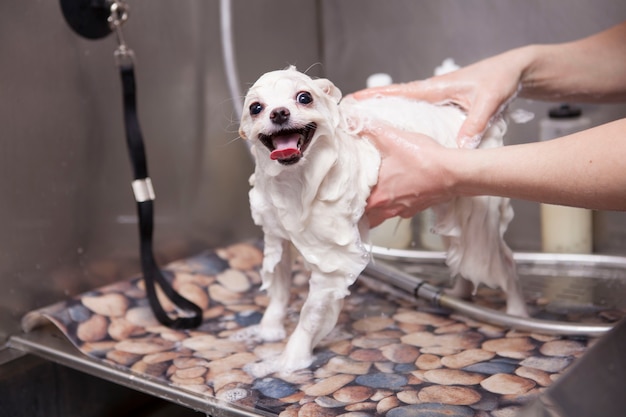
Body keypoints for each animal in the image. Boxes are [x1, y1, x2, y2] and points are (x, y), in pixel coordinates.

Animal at [236, 66, 524, 374]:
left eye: (304, 97)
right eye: (255, 108)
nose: (279, 113)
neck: (296, 182)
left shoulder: (332, 261)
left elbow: (310, 314)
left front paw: (291, 359)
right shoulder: (276, 235)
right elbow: (278, 289)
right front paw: (269, 329)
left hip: (478, 213)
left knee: (502, 261)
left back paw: (516, 313)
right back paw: (460, 293)